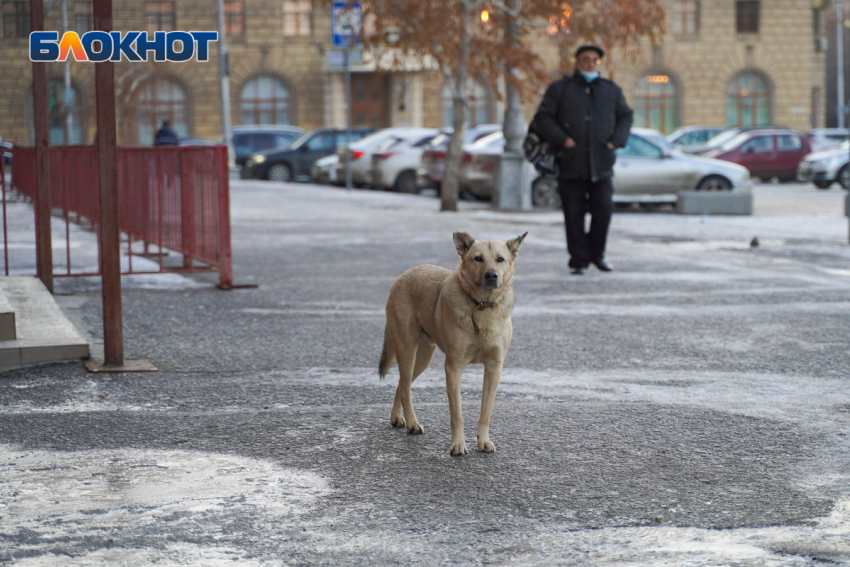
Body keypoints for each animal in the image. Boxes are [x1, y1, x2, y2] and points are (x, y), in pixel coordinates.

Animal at [380, 231, 528, 458]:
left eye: (500, 259)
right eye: (478, 258)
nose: (492, 275)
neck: (482, 306)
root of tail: (405, 274)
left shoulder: (494, 367)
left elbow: (486, 411)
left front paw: (483, 441)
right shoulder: (453, 367)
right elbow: (457, 414)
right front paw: (458, 445)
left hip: (423, 357)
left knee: (402, 384)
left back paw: (397, 417)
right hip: (407, 349)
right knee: (405, 388)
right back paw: (412, 423)